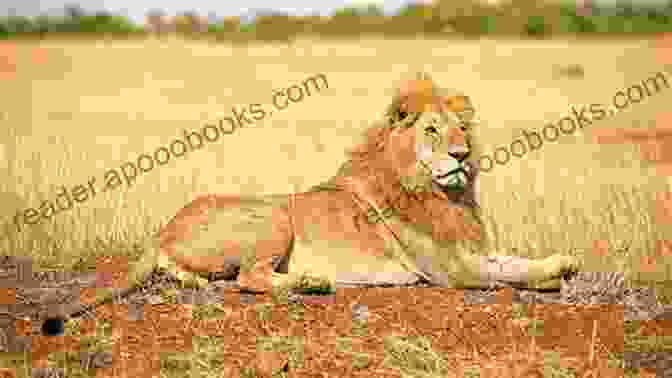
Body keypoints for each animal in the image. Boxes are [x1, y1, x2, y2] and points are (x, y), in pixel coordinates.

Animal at [69, 71, 584, 318]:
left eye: (461, 131)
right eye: (432, 131)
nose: (461, 155)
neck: (441, 194)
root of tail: (164, 230)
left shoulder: (471, 249)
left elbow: (514, 260)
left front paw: (563, 262)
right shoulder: (452, 270)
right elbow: (511, 274)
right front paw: (554, 276)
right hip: (273, 216)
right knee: (249, 279)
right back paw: (309, 283)